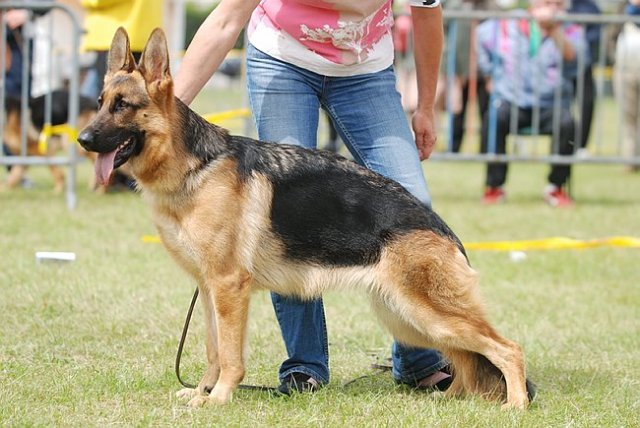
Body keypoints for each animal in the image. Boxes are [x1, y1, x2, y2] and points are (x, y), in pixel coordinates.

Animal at [79, 28, 528, 410]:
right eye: (100, 103)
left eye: (123, 106)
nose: (81, 139)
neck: (195, 165)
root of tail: (445, 231)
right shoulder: (209, 289)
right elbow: (211, 349)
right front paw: (202, 392)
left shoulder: (228, 287)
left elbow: (230, 354)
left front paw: (220, 397)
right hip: (406, 317)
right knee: (466, 361)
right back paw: (451, 401)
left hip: (424, 314)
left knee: (507, 349)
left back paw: (515, 405)